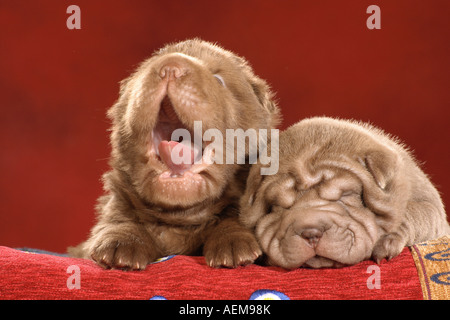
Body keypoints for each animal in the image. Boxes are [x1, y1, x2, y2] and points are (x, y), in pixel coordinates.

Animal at [68, 39, 280, 270]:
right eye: (143, 72)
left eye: (219, 80)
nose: (170, 67)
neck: (181, 218)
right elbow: (119, 219)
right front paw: (120, 244)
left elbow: (233, 218)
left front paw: (233, 243)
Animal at [241, 117, 450, 268]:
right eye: (277, 206)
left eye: (346, 195)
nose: (311, 232)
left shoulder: (431, 206)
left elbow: (416, 214)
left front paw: (386, 240)